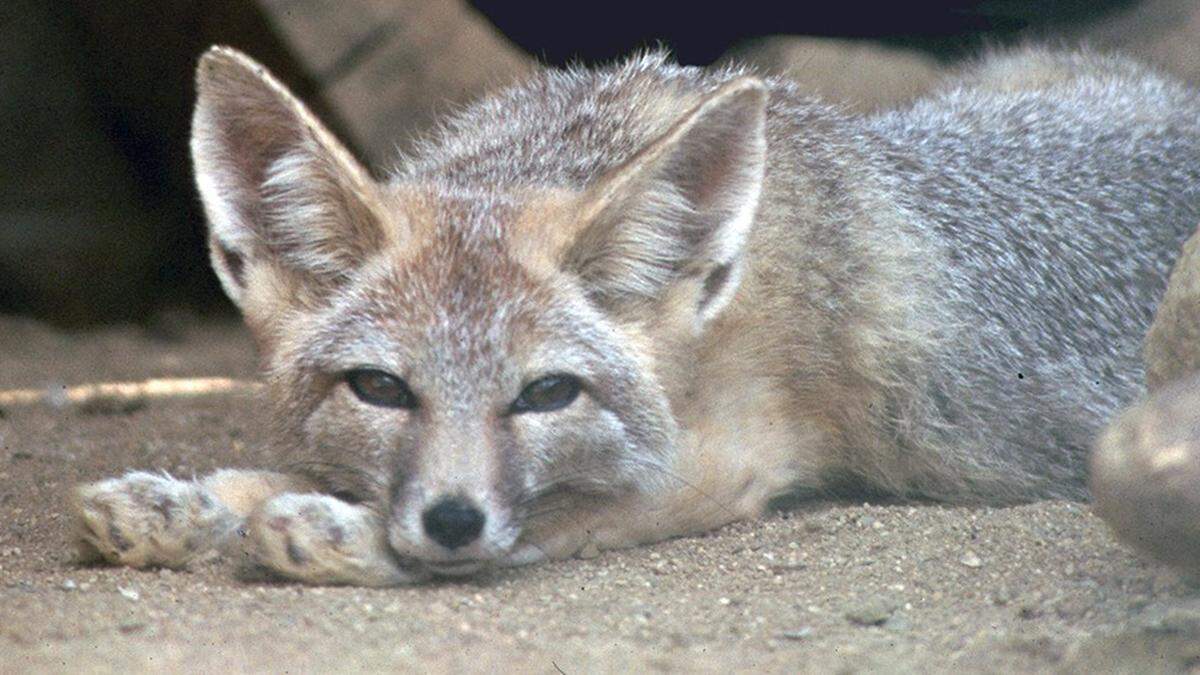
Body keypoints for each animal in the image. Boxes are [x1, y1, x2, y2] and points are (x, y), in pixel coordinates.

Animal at [72, 44, 1200, 586]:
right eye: (382, 388)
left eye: (547, 394)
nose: (449, 519)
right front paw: (190, 502)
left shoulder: (725, 463)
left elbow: (553, 517)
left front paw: (332, 531)